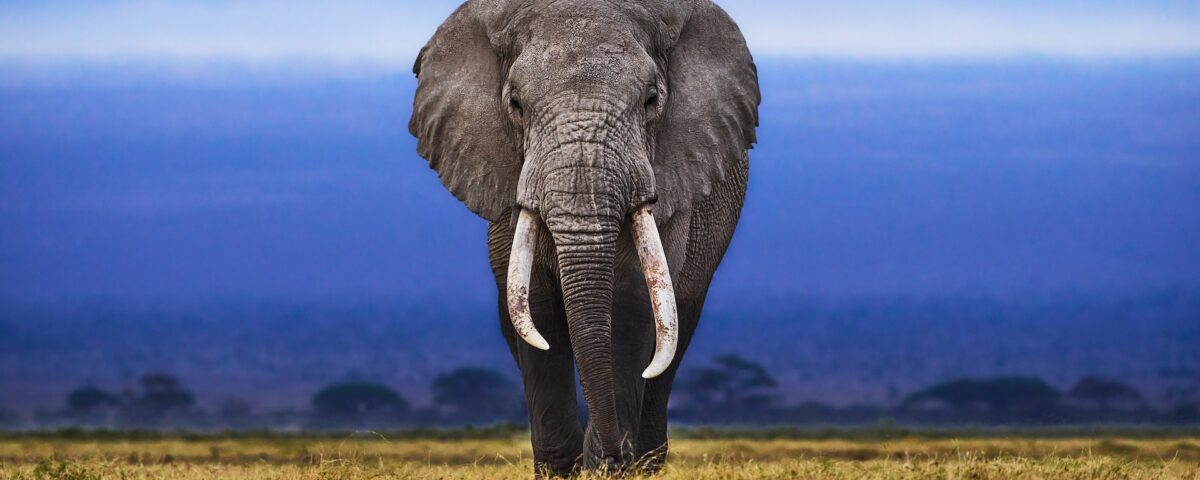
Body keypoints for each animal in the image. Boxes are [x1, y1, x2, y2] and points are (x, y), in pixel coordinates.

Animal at [409, 0, 759, 475]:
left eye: (651, 100)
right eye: (515, 104)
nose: (613, 454)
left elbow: (632, 304)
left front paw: (606, 468)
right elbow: (536, 309)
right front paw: (563, 469)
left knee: (675, 333)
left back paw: (645, 459)